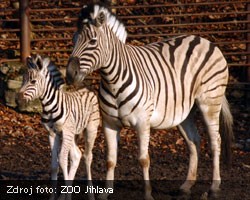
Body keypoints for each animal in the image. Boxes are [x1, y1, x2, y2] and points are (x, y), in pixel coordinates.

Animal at [65, 3, 233, 200]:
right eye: (73, 40)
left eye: (92, 41)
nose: (70, 74)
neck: (112, 80)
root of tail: (203, 40)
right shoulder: (109, 123)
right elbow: (110, 160)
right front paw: (105, 194)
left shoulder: (142, 122)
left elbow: (144, 160)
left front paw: (147, 194)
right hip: (184, 111)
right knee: (193, 141)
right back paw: (186, 186)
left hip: (210, 102)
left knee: (215, 142)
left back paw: (214, 188)